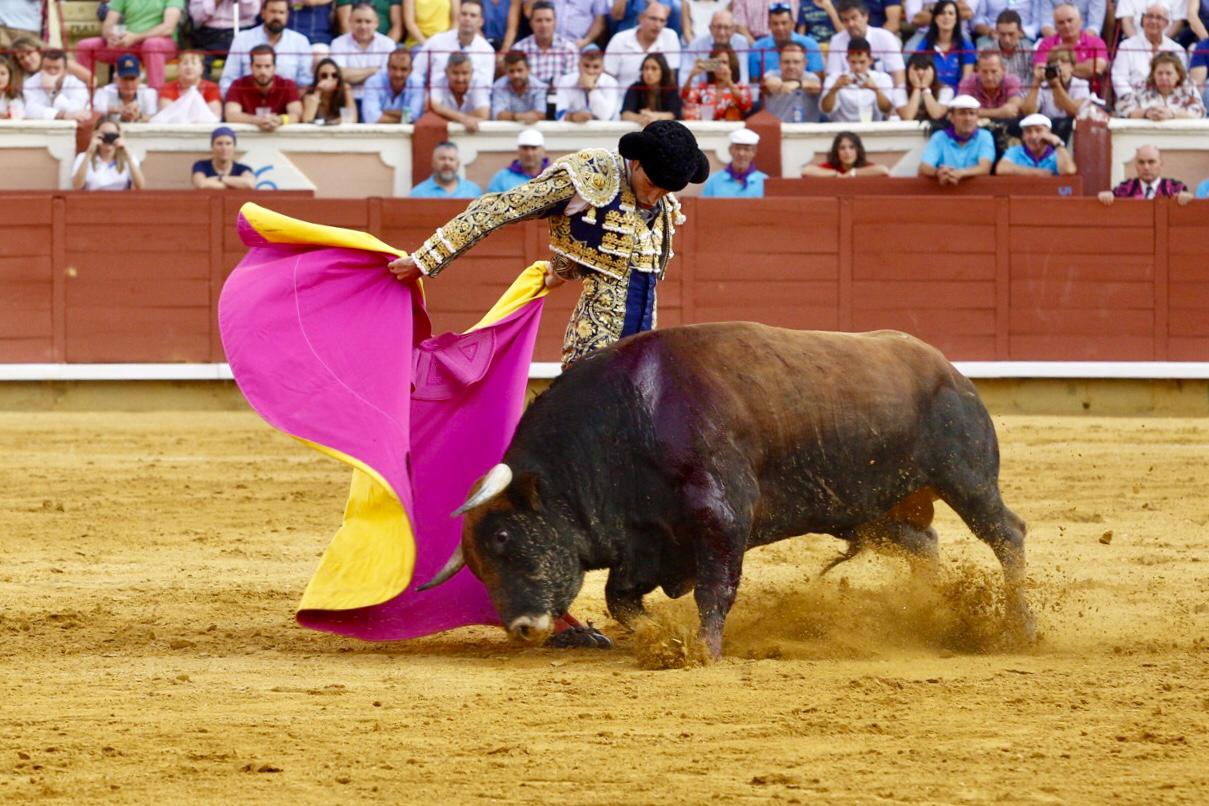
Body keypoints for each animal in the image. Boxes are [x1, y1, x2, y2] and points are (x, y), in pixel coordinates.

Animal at [420, 323, 1034, 657]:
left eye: (504, 537)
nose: (523, 630)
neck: (630, 418)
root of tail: (949, 369)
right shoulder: (649, 540)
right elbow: (622, 599)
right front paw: (660, 636)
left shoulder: (720, 519)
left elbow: (714, 590)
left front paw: (701, 651)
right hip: (874, 511)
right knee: (926, 545)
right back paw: (930, 614)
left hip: (966, 477)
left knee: (1007, 534)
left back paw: (1021, 627)